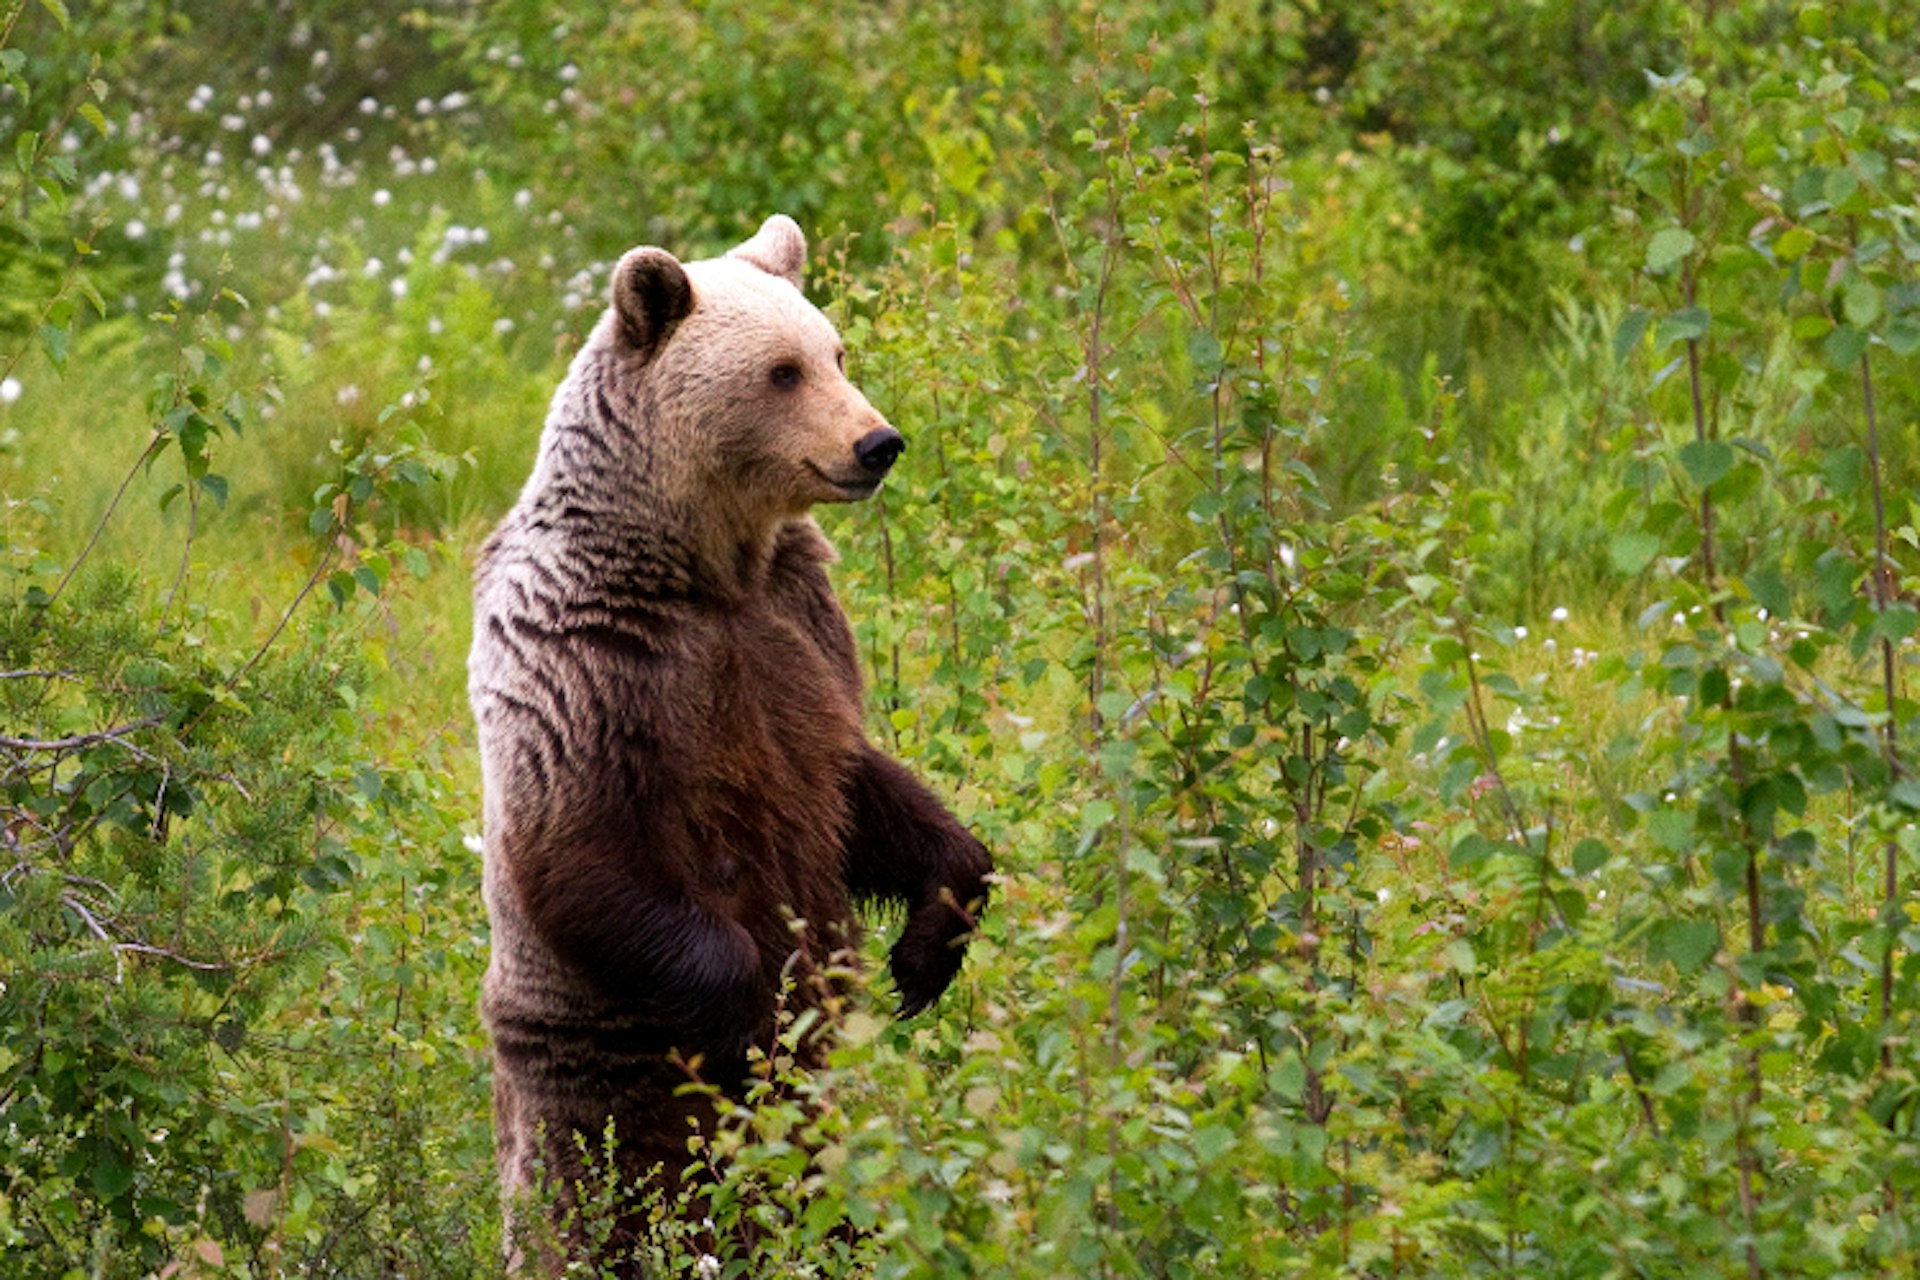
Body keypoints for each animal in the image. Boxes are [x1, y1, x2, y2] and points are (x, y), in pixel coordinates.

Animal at [472, 213, 998, 1274]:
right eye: (781, 371)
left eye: (836, 350)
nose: (878, 442)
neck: (704, 565)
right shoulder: (590, 659)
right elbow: (580, 845)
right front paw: (746, 1019)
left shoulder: (796, 629)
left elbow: (859, 786)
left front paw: (926, 950)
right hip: (585, 1082)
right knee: (591, 1206)